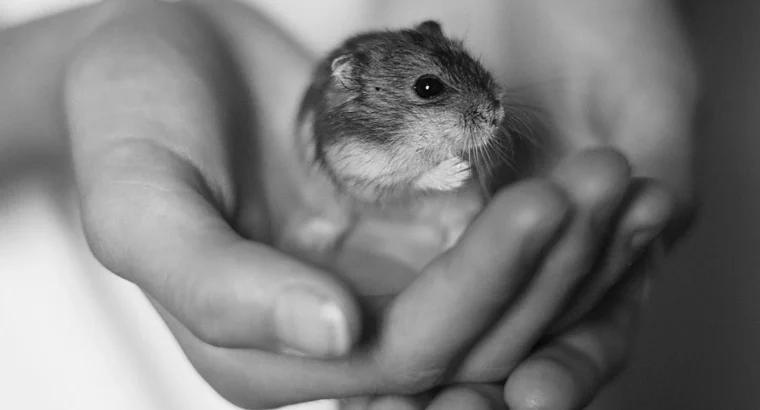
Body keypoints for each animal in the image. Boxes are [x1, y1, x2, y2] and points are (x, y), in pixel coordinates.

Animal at [281, 20, 513, 263]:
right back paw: (308, 239)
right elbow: (408, 179)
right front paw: (458, 170)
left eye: (469, 59)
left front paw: (467, 167)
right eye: (428, 86)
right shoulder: (357, 172)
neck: (408, 137)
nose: (497, 116)